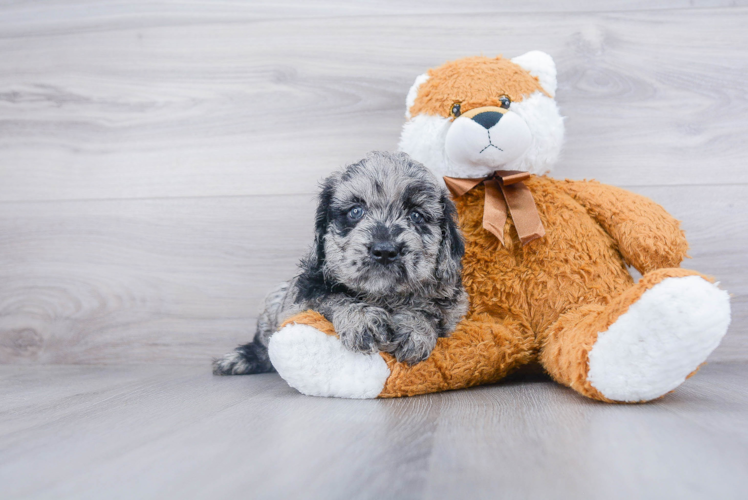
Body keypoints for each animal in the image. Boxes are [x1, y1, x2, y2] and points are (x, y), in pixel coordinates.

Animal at [212, 151, 468, 376]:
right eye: (355, 211)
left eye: (416, 216)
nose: (385, 251)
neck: (381, 296)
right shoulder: (303, 295)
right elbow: (333, 299)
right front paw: (362, 320)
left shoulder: (453, 305)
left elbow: (431, 310)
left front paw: (414, 328)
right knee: (263, 345)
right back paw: (239, 359)